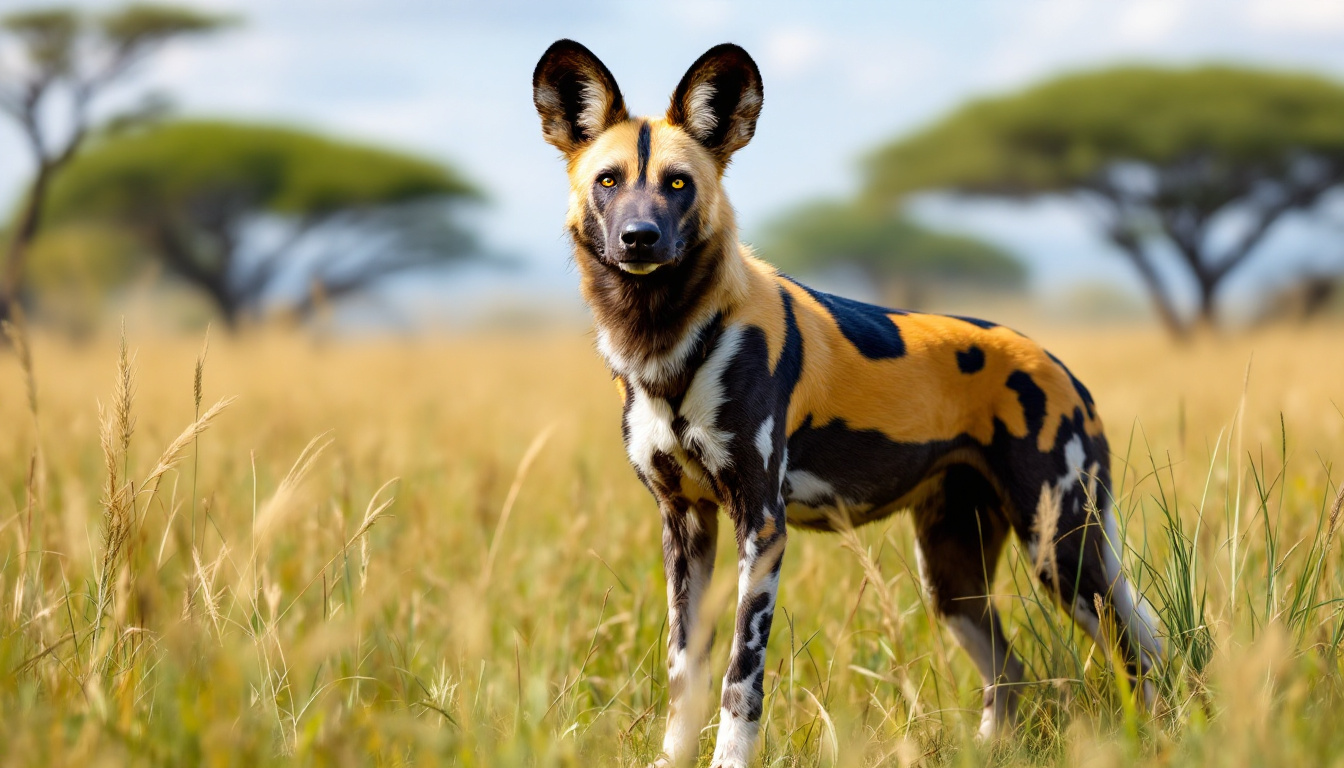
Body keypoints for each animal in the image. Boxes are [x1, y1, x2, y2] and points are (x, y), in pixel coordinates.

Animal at [534, 43, 1166, 768]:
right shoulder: (684, 523)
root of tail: (1058, 365)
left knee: (1138, 653)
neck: (664, 341)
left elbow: (738, 678)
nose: (639, 237)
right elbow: (683, 674)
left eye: (678, 184)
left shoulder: (762, 528)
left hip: (1061, 554)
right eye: (609, 180)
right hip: (953, 582)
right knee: (1011, 671)